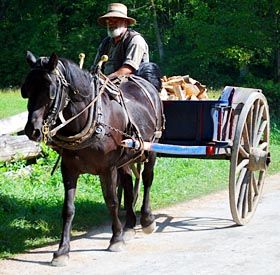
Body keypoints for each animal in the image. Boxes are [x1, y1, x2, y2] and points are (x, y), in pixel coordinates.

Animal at [21, 51, 164, 268]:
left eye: (50, 90)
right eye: (27, 89)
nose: (32, 130)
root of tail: (144, 82)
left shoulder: (108, 168)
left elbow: (112, 201)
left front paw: (116, 239)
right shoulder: (69, 169)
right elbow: (68, 208)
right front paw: (62, 251)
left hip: (151, 147)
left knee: (147, 180)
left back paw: (147, 220)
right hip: (126, 159)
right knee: (128, 184)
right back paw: (130, 225)